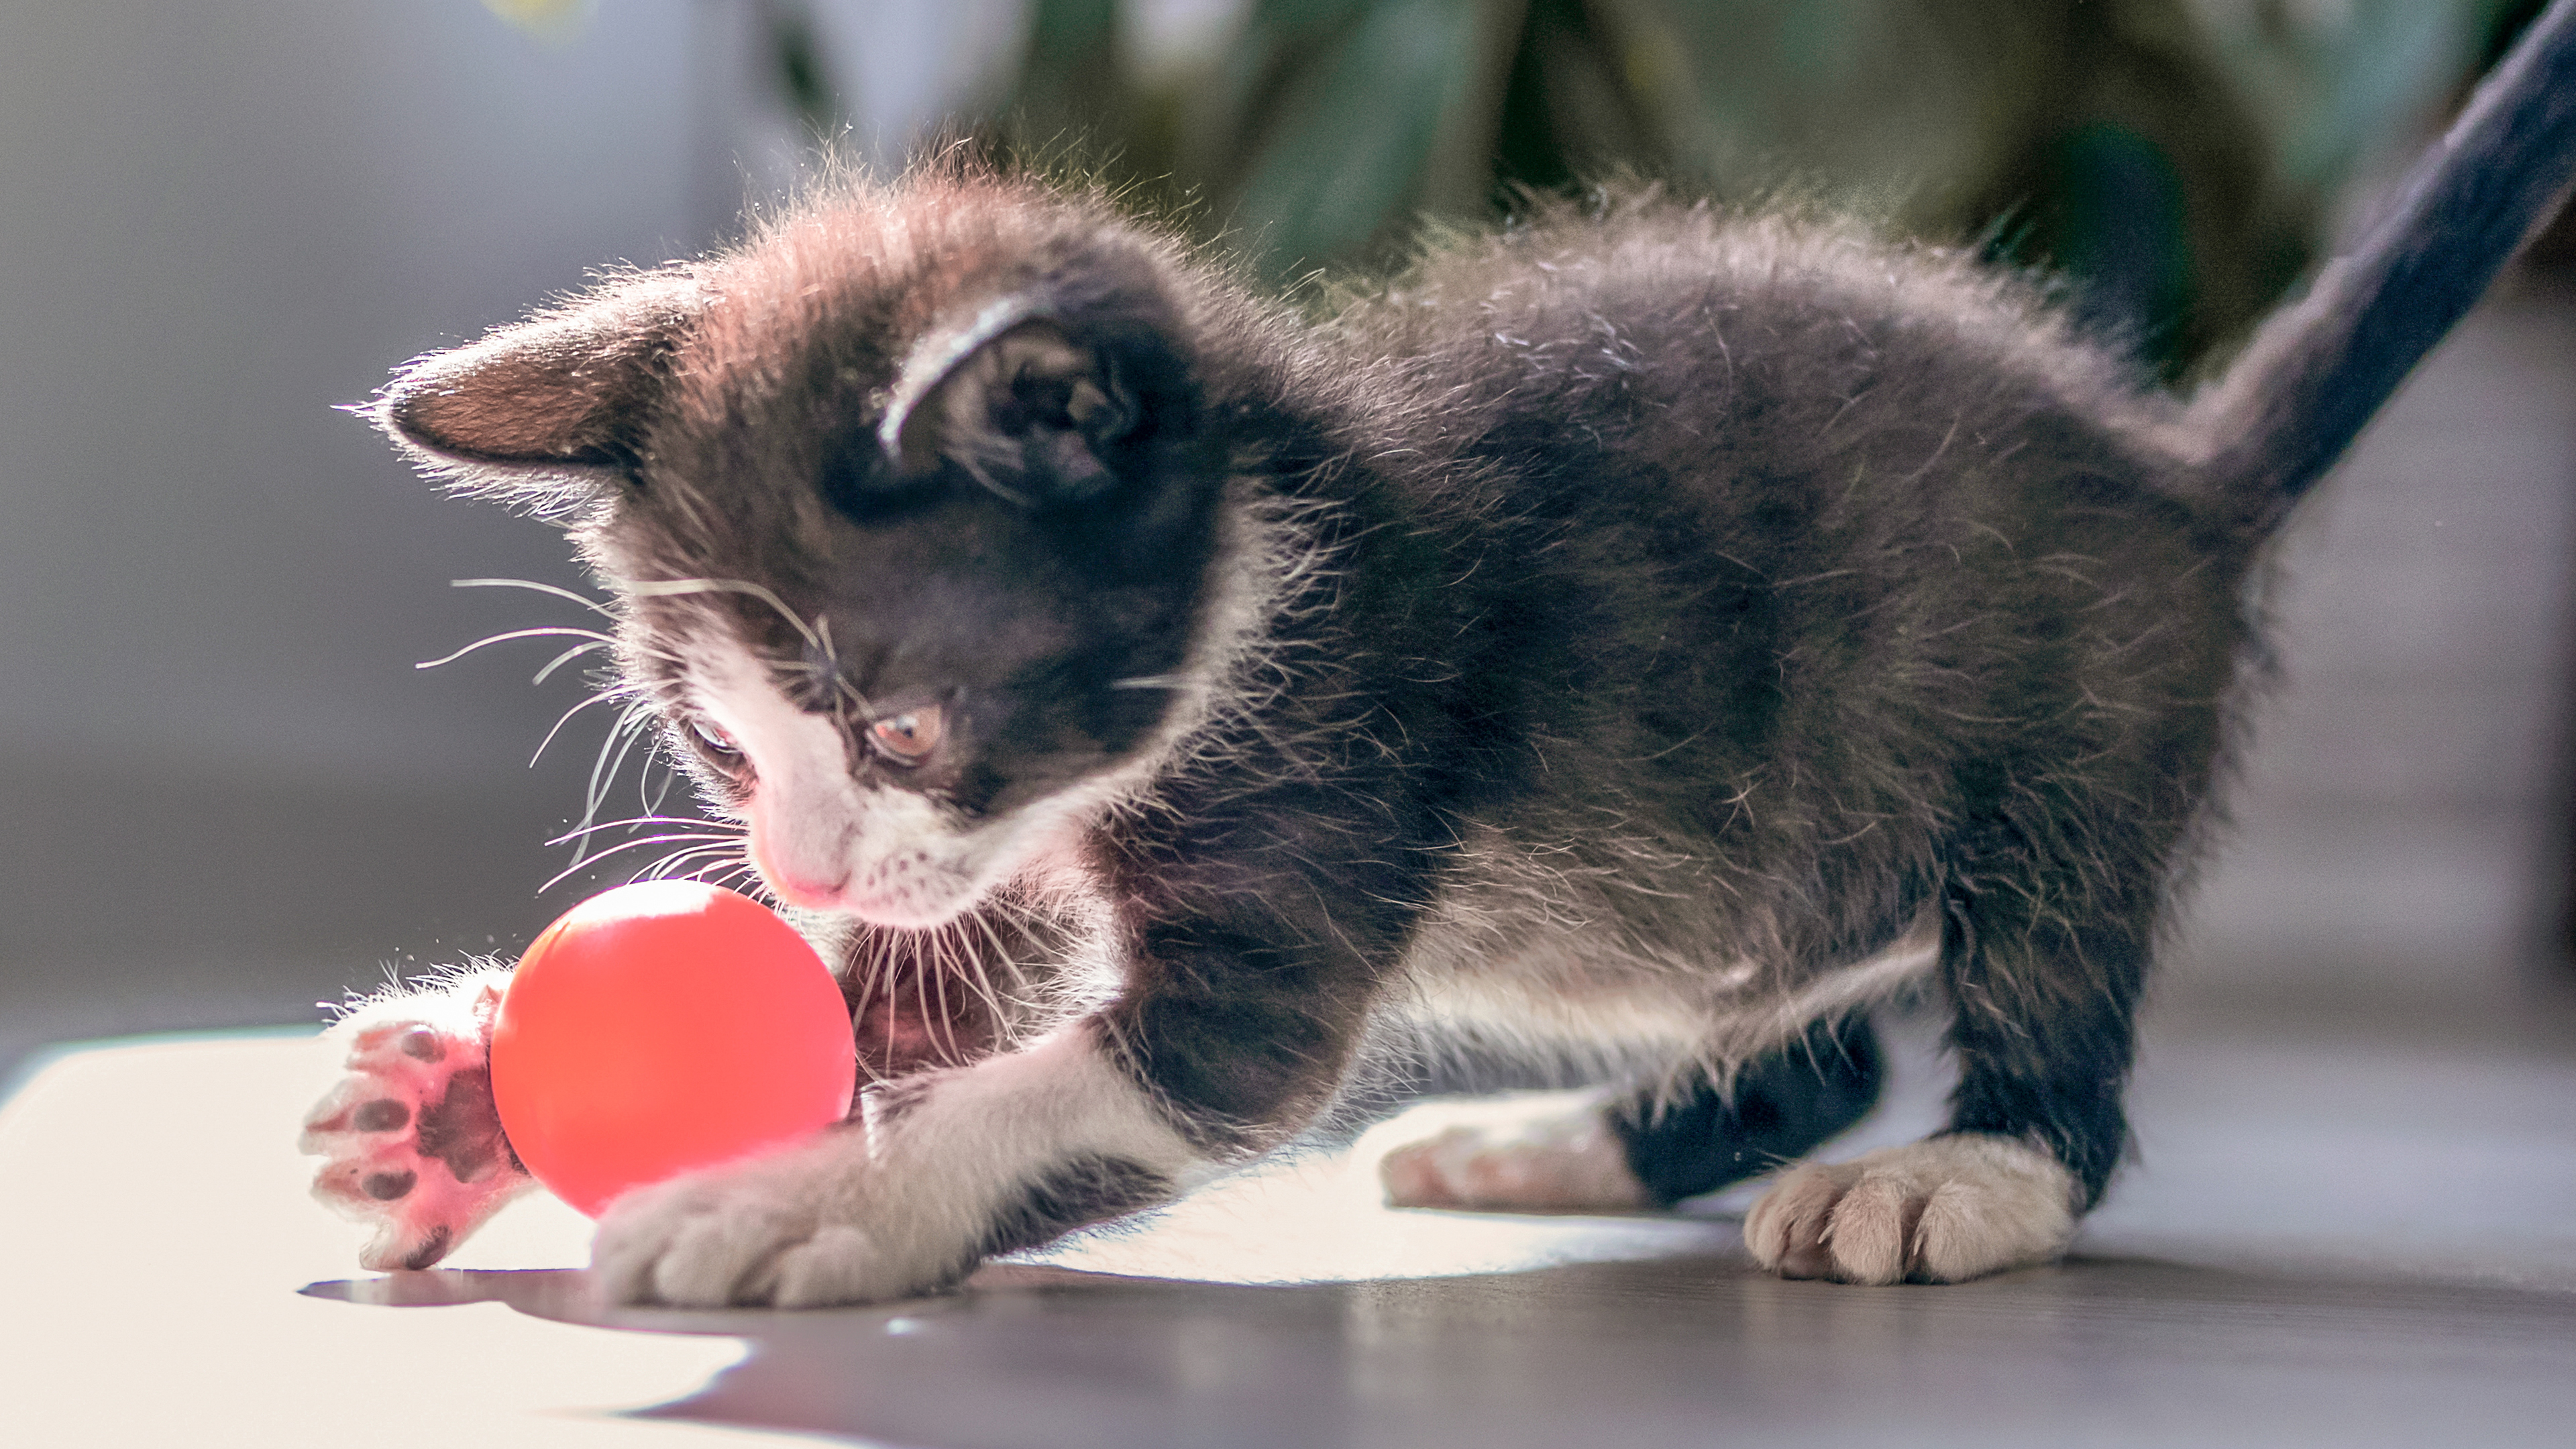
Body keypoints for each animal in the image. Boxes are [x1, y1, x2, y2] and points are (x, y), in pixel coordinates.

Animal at [296, 11, 2576, 1299]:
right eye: (718, 744)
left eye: (902, 721)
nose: (786, 867)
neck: (1263, 574)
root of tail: (2177, 469)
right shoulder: (1001, 870)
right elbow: (915, 996)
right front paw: (460, 1112)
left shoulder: (1333, 781)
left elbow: (1098, 1078)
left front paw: (799, 1204)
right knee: (1809, 1034)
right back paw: (1559, 1141)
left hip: (2074, 728)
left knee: (2050, 997)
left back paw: (1970, 1174)